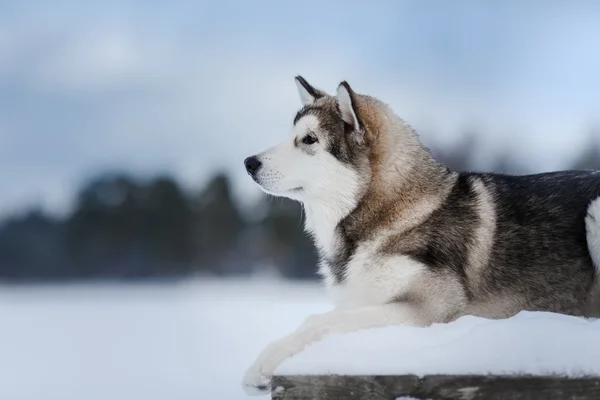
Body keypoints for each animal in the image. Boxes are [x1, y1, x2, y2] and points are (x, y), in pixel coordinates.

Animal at [240, 76, 600, 394]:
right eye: (292, 136)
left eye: (309, 140)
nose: (248, 162)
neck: (389, 214)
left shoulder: (433, 307)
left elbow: (317, 321)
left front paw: (263, 363)